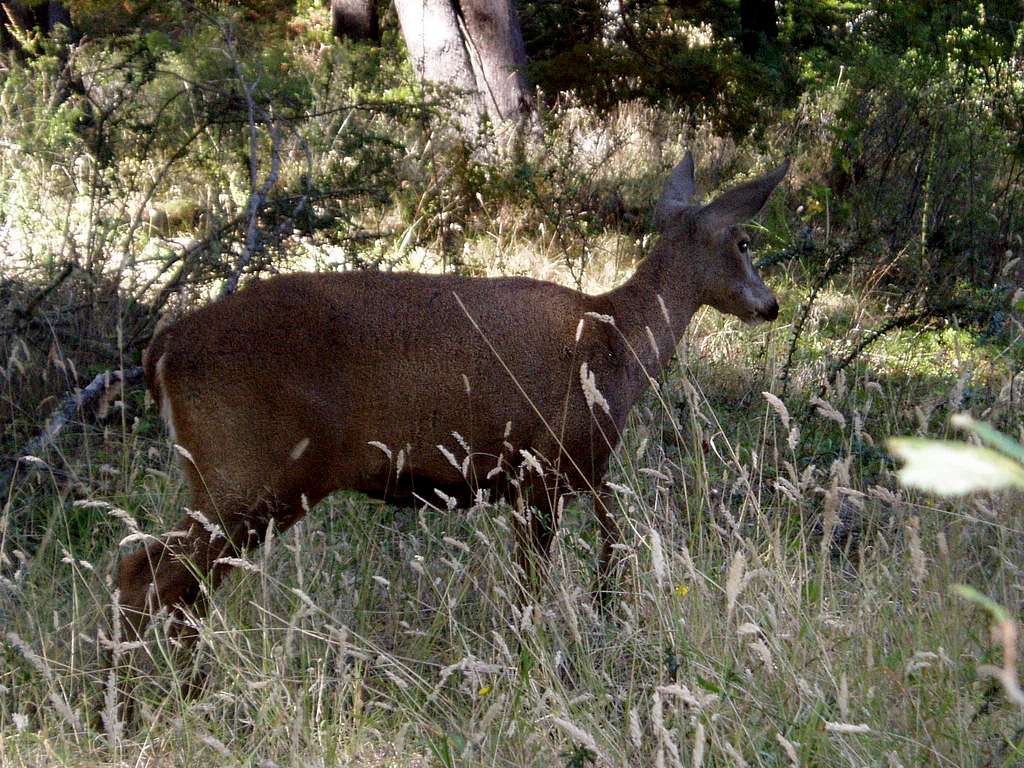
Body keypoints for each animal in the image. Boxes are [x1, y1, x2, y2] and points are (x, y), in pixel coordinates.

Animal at [116, 153, 786, 651]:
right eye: (744, 241)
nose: (771, 305)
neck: (618, 341)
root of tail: (163, 349)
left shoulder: (576, 473)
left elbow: (607, 554)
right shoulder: (545, 467)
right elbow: (535, 586)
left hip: (237, 483)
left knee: (175, 583)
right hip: (248, 474)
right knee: (150, 573)